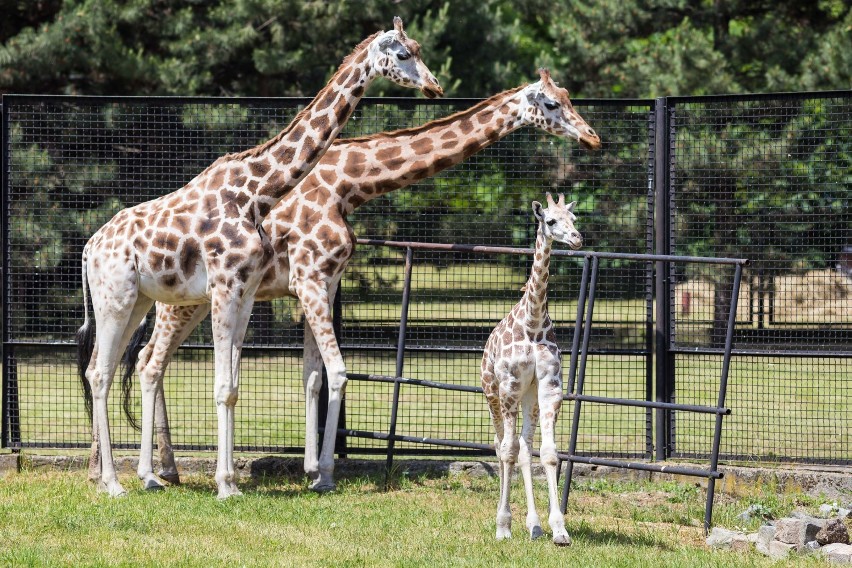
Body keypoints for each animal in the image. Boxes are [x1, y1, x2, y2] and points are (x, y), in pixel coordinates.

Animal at [75, 15, 442, 500]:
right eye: (402, 54)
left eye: (420, 49)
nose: (435, 87)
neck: (255, 194)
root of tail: (88, 249)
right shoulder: (225, 286)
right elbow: (220, 386)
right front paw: (225, 485)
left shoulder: (245, 292)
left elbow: (232, 386)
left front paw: (230, 481)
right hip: (115, 297)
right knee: (100, 373)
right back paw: (114, 484)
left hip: (136, 301)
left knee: (108, 366)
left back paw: (133, 477)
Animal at [121, 66, 600, 492]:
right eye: (552, 103)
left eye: (571, 96)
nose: (592, 137)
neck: (349, 184)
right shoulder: (310, 279)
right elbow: (336, 372)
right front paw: (324, 475)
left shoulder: (322, 282)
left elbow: (313, 376)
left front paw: (310, 468)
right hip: (184, 301)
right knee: (150, 362)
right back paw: (151, 473)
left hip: (194, 301)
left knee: (151, 360)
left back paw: (168, 469)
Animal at [482, 192, 584, 544]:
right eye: (550, 221)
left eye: (574, 219)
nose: (577, 239)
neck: (533, 323)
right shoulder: (509, 386)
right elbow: (508, 452)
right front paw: (502, 527)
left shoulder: (550, 387)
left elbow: (549, 453)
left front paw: (560, 529)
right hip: (493, 394)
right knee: (501, 445)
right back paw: (510, 524)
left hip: (529, 396)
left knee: (525, 447)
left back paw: (535, 525)